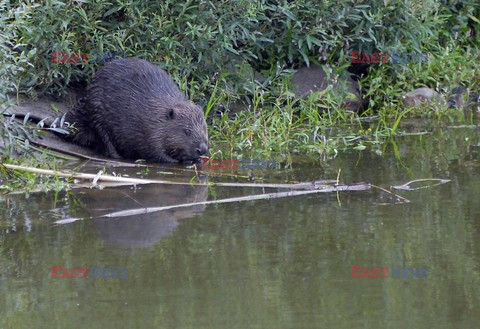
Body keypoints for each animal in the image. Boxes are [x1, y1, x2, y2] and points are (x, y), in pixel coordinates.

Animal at [65, 58, 208, 163]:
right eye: (187, 131)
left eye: (205, 129)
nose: (203, 149)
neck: (157, 113)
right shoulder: (148, 131)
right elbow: (154, 151)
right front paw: (180, 161)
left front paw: (197, 160)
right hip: (96, 111)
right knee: (105, 138)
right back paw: (118, 156)